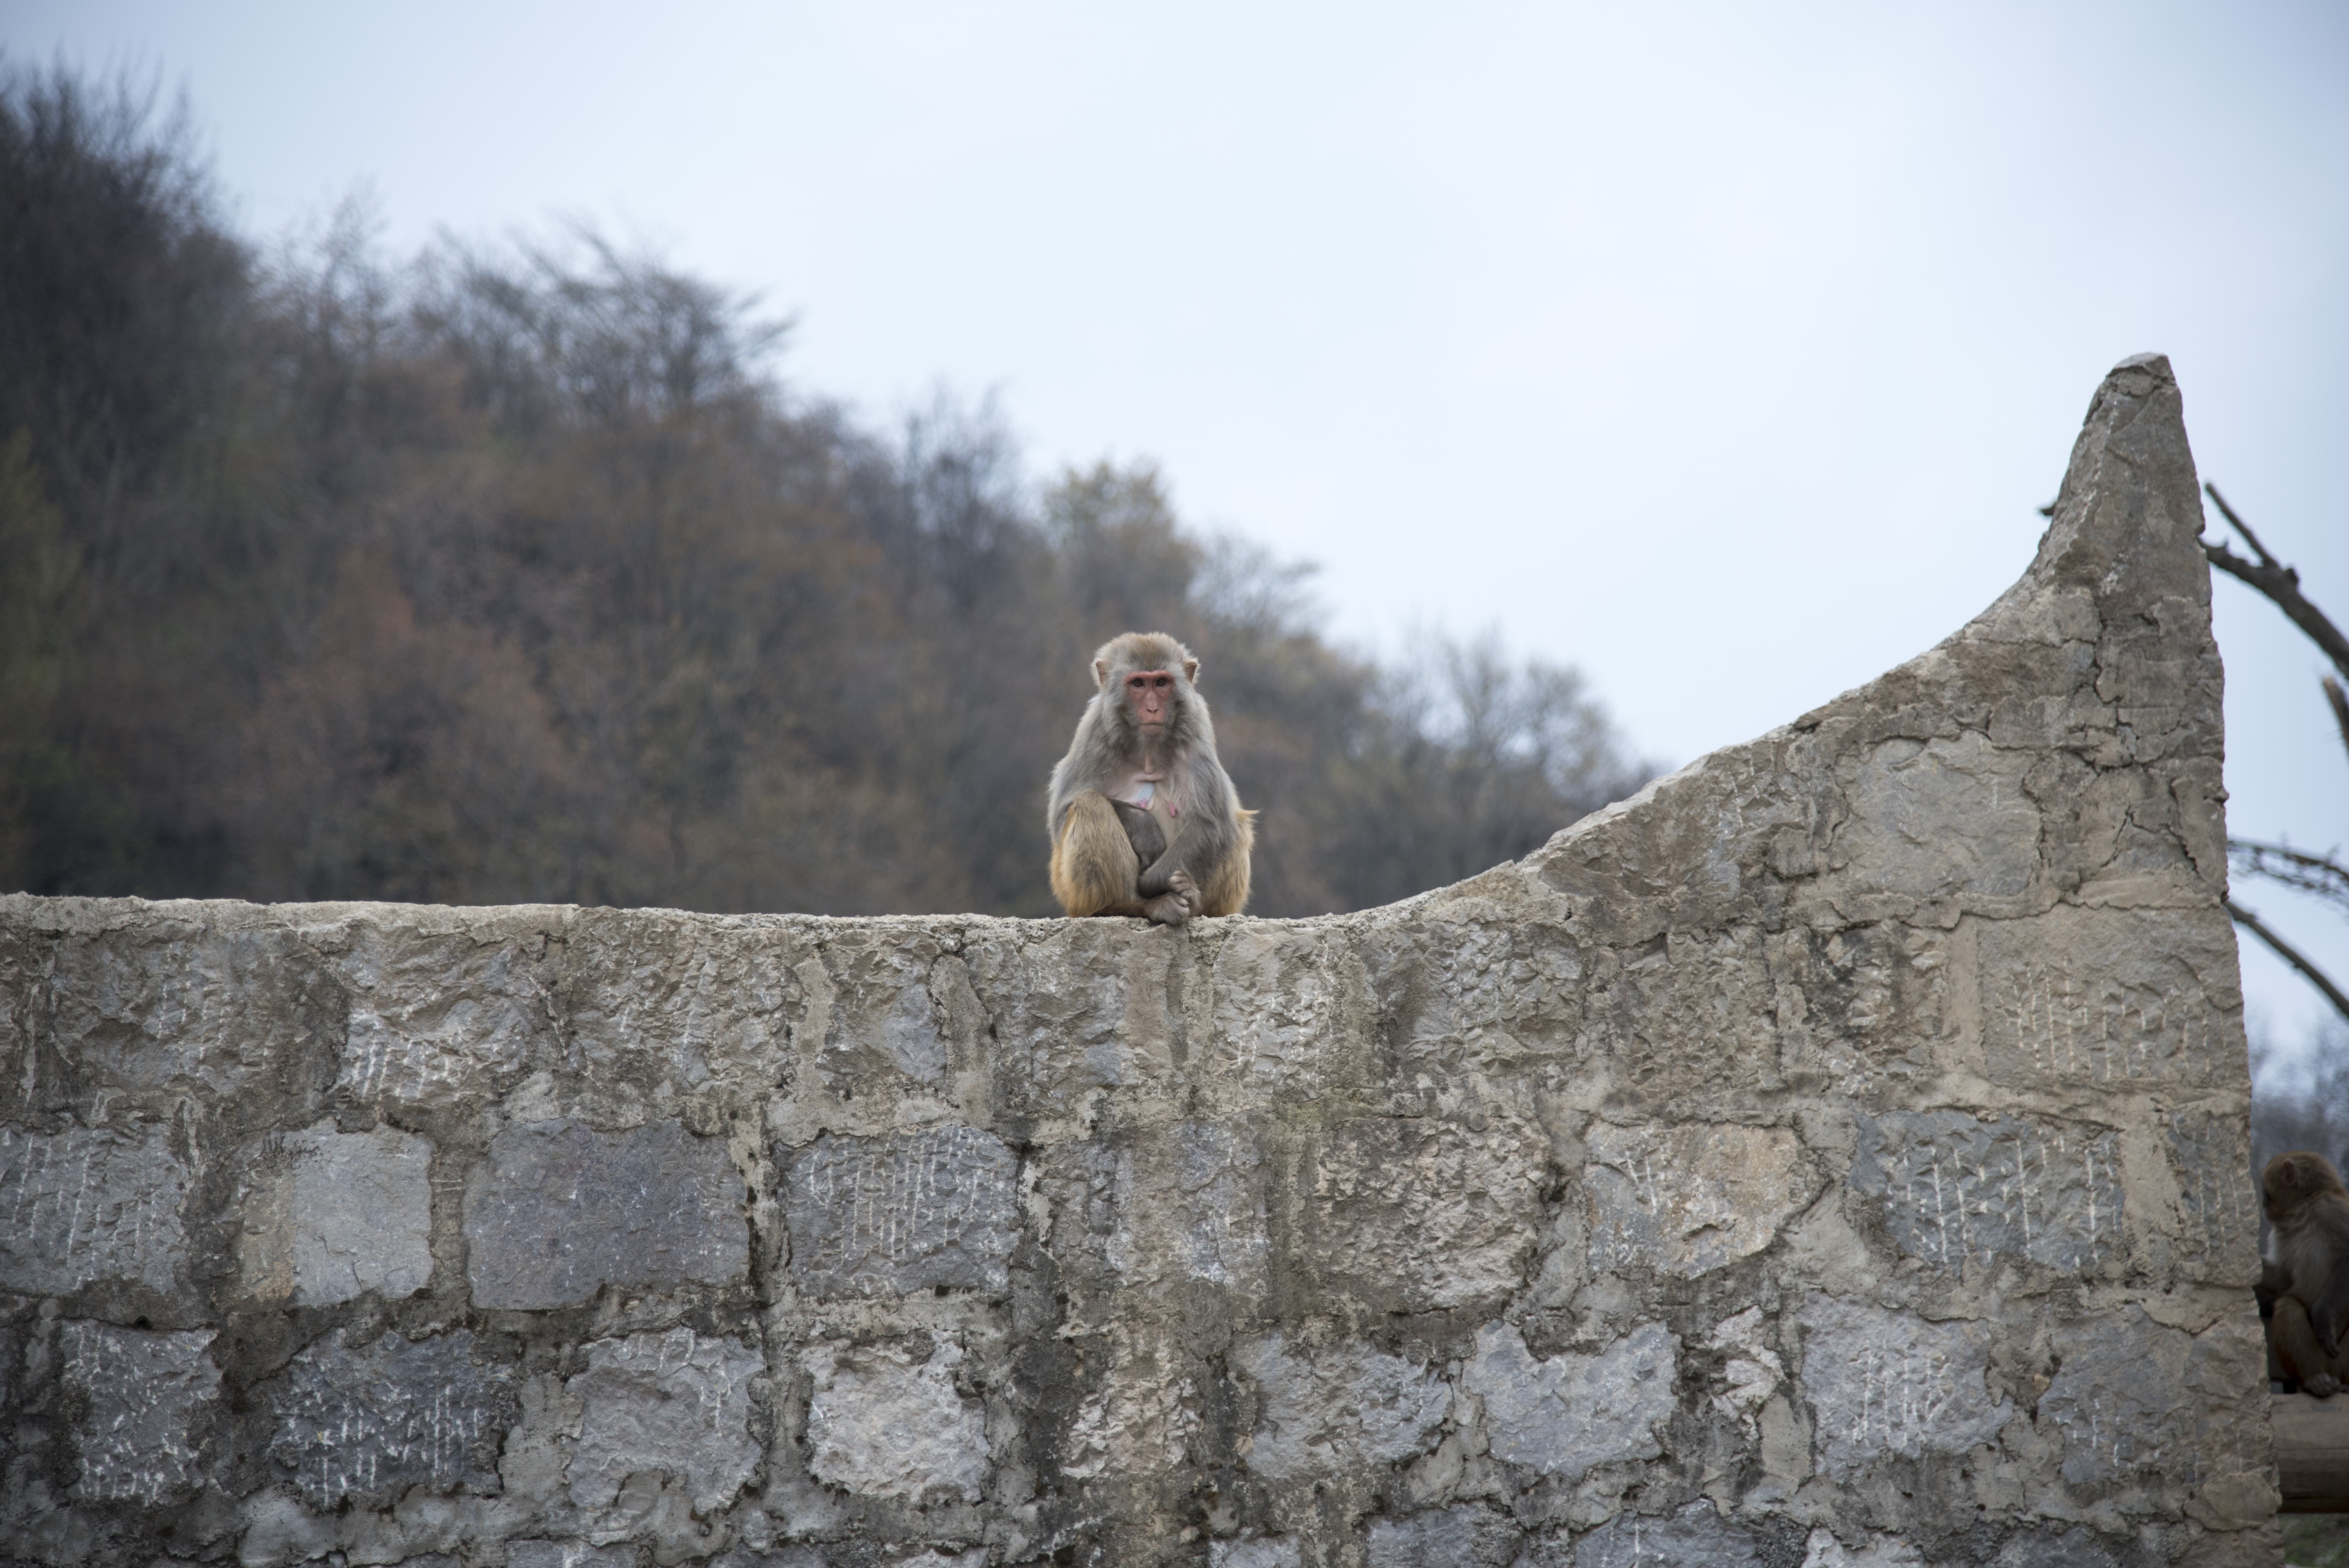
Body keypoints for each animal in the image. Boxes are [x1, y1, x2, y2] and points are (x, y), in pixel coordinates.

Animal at [1047, 631, 1255, 925]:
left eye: (1161, 683)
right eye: (1138, 684)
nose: (1154, 709)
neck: (1148, 748)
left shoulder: (1196, 734)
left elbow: (1210, 824)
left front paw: (1154, 883)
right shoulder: (1093, 733)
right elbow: (1063, 813)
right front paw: (1145, 829)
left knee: (1234, 825)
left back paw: (1190, 895)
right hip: (1070, 895)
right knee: (1089, 804)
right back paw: (1129, 906)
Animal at [2261, 1150, 2349, 1397]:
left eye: (2266, 1191)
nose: (2263, 1204)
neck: (2302, 1209)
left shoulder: (2332, 1210)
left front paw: (2322, 1314)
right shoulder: (2281, 1233)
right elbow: (2282, 1279)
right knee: (2289, 1305)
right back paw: (2315, 1380)